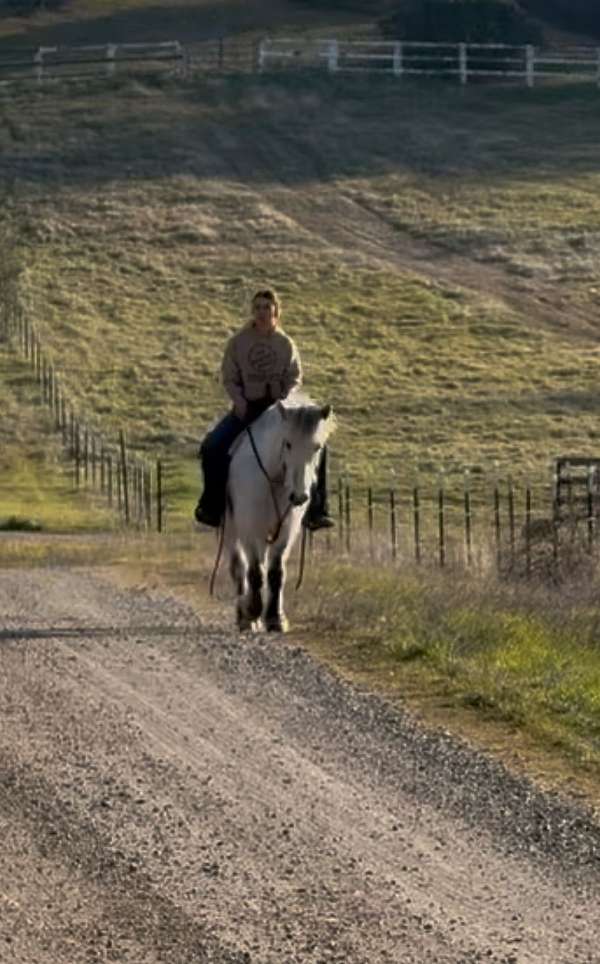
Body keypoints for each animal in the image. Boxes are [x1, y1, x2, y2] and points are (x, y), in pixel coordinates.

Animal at [225, 396, 338, 628]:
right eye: (288, 443)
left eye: (317, 447)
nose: (299, 496)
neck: (274, 478)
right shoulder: (251, 529)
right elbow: (255, 571)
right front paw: (253, 612)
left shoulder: (287, 529)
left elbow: (276, 571)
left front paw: (275, 618)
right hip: (231, 531)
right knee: (238, 567)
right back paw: (243, 617)